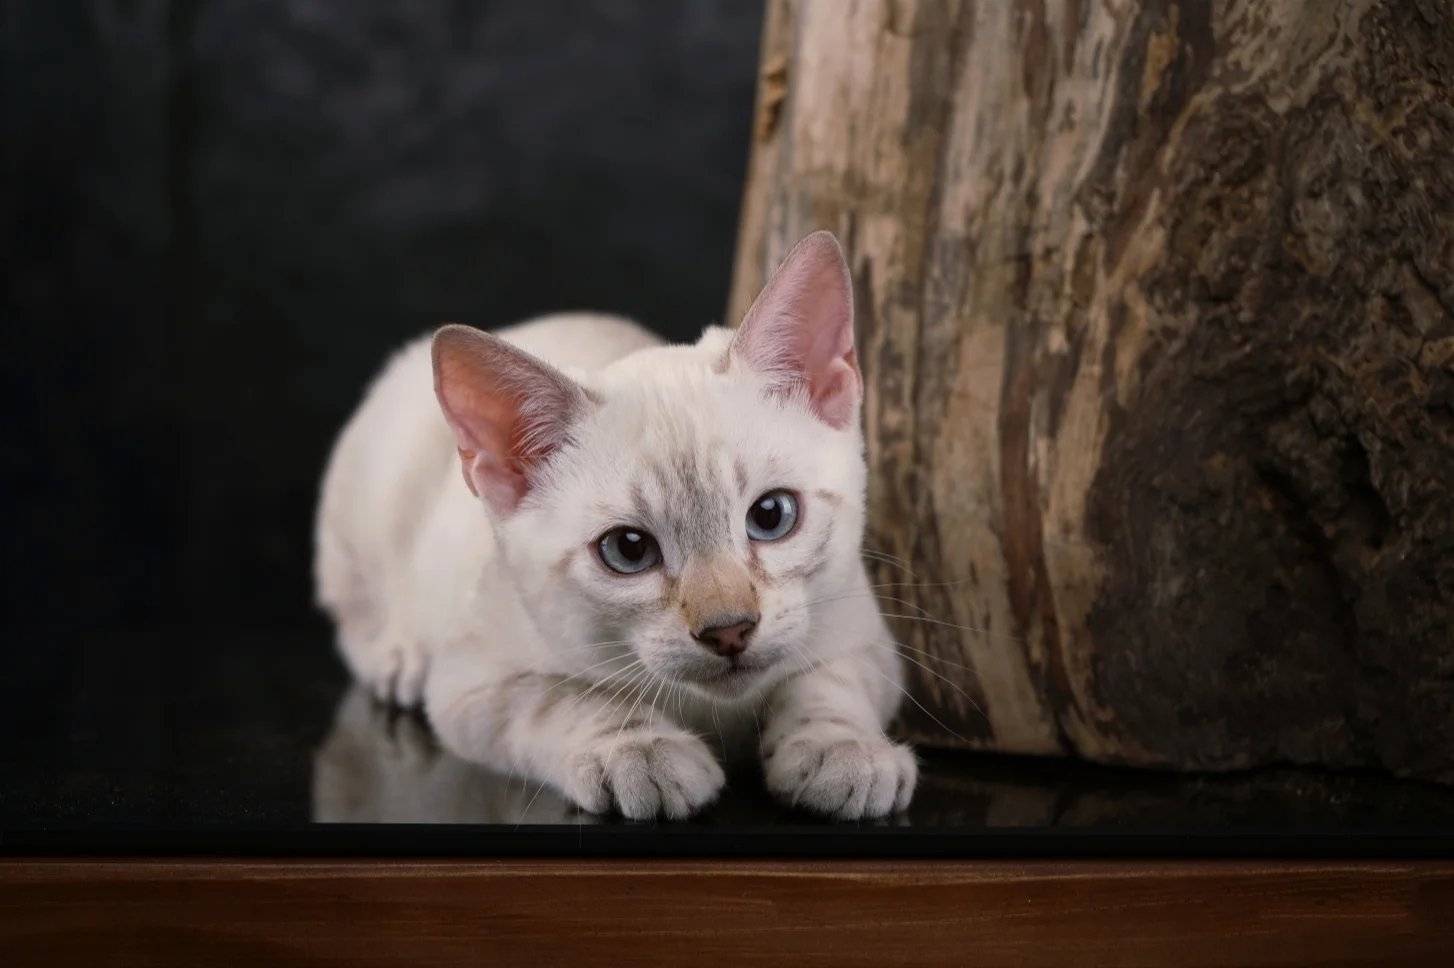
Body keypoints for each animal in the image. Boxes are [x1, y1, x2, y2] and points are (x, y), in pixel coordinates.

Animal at [314, 232, 913, 813]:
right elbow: (565, 700)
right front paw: (640, 752)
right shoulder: (473, 685)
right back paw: (401, 657)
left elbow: (826, 684)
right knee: (355, 613)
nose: (729, 630)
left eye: (771, 515)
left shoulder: (863, 635)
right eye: (629, 550)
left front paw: (844, 750)